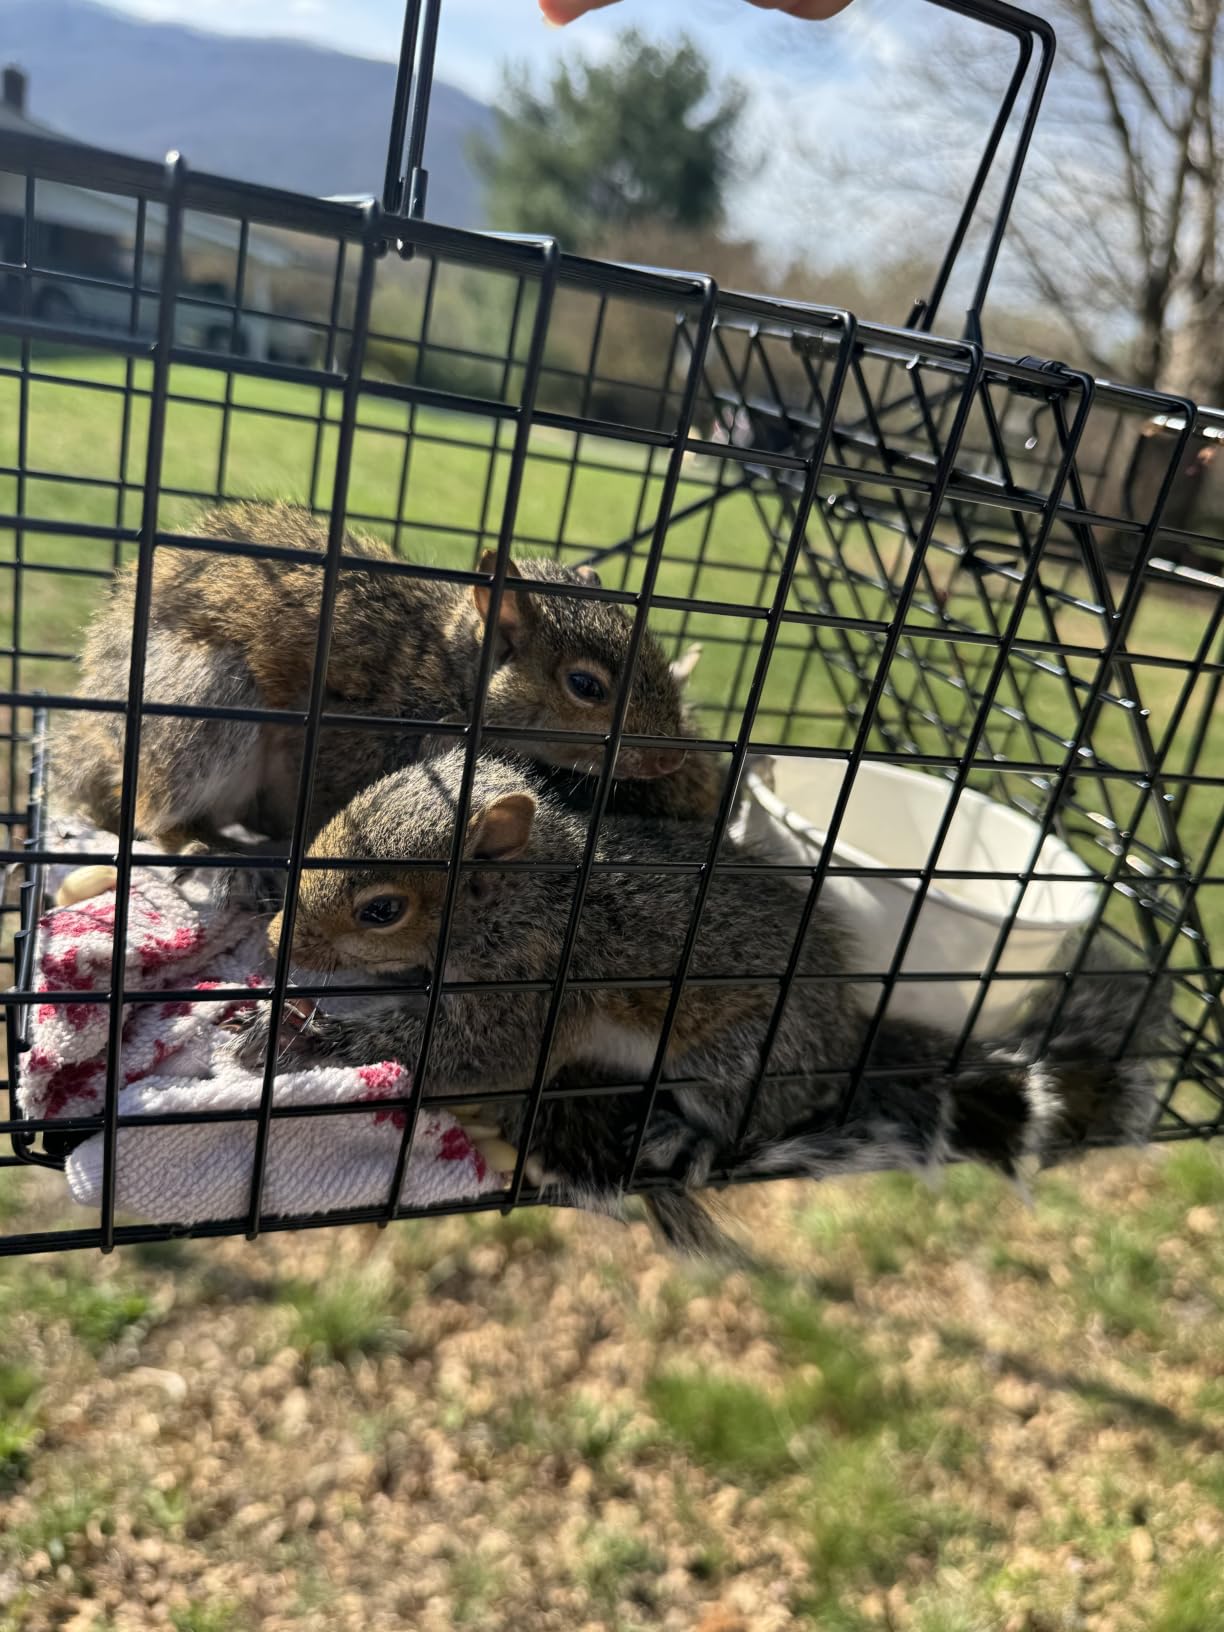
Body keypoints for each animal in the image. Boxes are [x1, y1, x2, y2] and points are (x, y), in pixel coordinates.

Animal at [58, 500, 705, 878]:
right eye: (584, 685)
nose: (671, 759)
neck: (449, 677)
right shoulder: (349, 742)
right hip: (207, 708)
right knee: (152, 811)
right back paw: (207, 846)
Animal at [230, 745, 1167, 1255]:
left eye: (382, 909)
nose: (278, 942)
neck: (531, 896)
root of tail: (846, 1036)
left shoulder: (537, 981)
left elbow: (470, 1055)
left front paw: (309, 1034)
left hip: (732, 1058)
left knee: (746, 1124)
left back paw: (687, 1135)